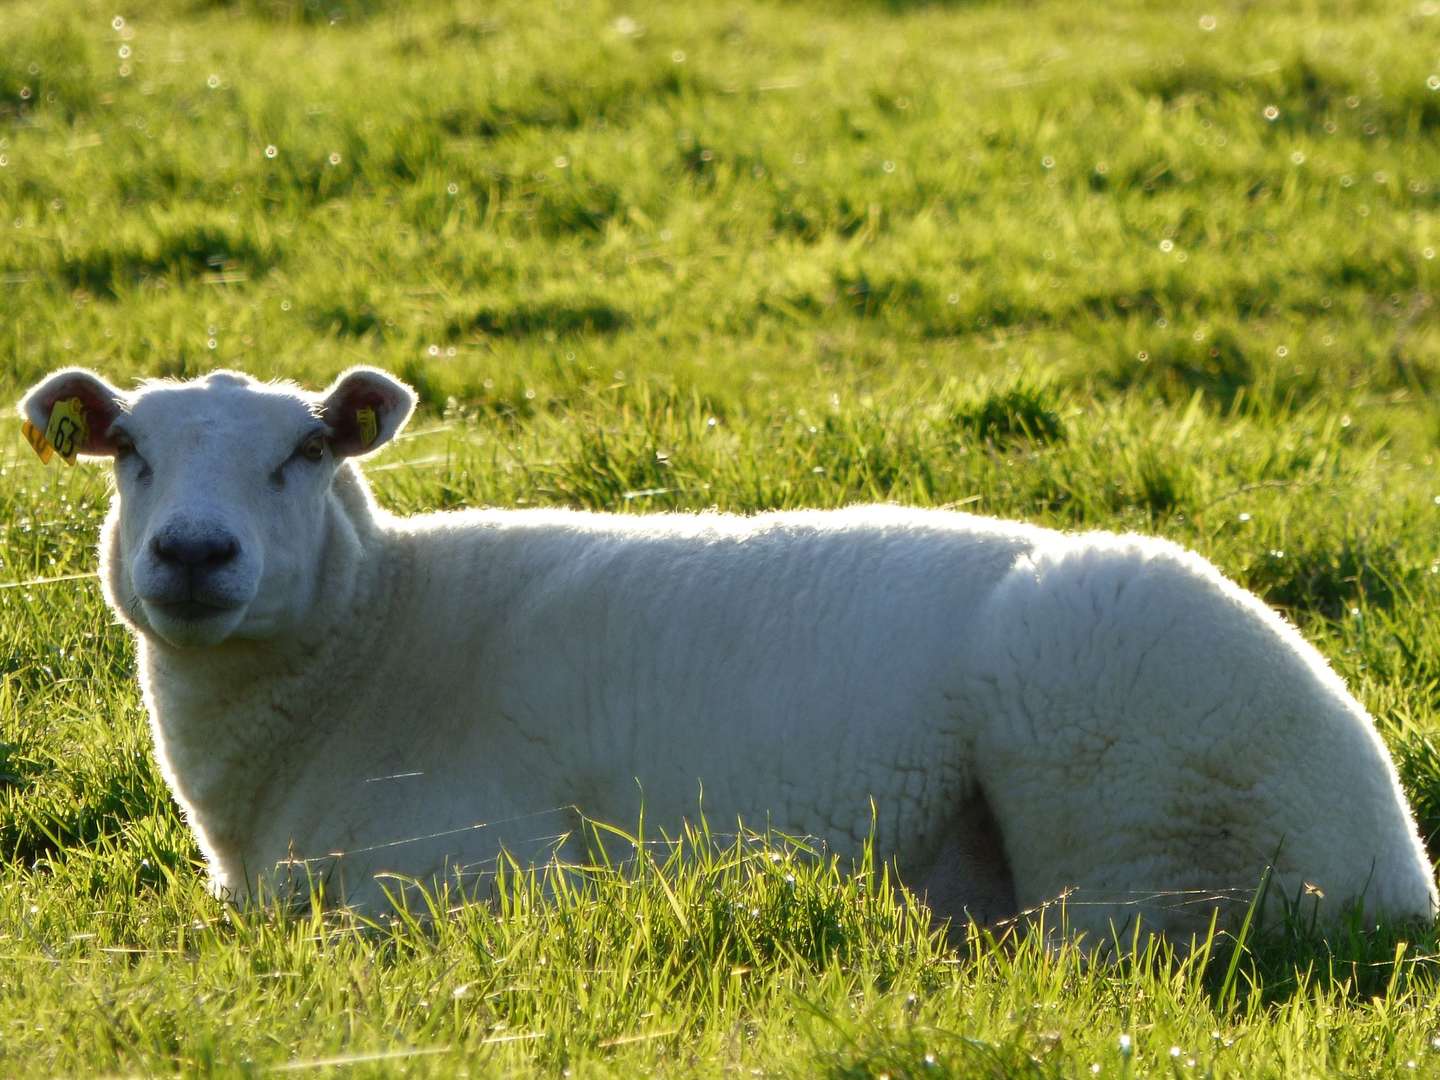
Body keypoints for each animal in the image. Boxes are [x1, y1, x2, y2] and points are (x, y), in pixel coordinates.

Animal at [14, 368, 1440, 944]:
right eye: (128, 448)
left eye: (307, 449)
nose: (195, 555)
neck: (376, 642)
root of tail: (1395, 858)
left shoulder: (476, 873)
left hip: (1124, 798)